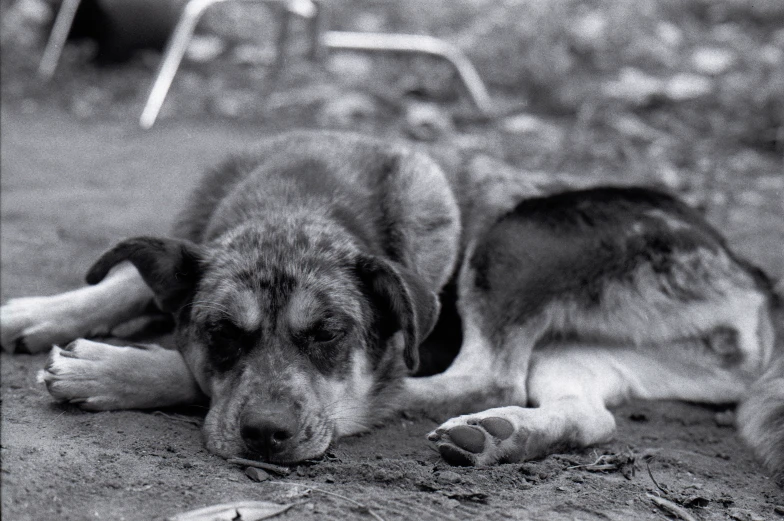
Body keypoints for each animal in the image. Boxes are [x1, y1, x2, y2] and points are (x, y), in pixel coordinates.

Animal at [1, 130, 784, 480]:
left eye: (329, 333)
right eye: (223, 331)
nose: (267, 437)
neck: (299, 198)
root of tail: (753, 274)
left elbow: (193, 371)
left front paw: (108, 367)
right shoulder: (191, 241)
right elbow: (131, 277)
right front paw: (38, 310)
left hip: (518, 235)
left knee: (475, 373)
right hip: (579, 351)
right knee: (590, 415)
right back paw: (504, 433)